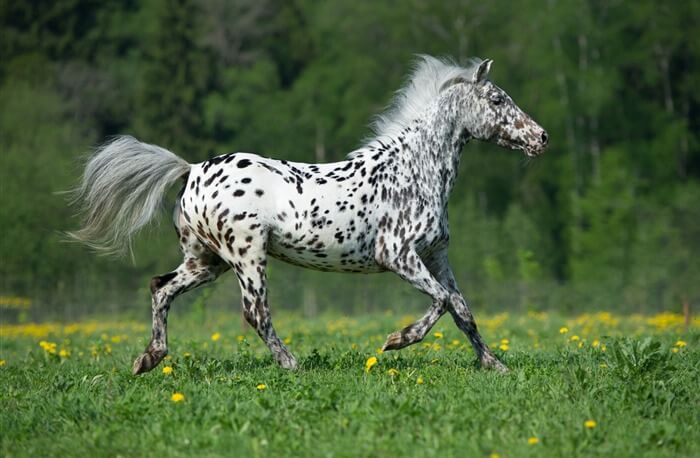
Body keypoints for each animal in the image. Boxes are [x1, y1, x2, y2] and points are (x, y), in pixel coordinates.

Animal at [69, 56, 548, 375]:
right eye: (497, 99)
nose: (541, 138)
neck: (414, 170)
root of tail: (192, 171)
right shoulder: (398, 254)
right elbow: (442, 302)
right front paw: (396, 340)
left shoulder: (436, 256)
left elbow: (463, 309)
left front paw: (494, 364)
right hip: (247, 257)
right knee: (255, 312)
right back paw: (291, 363)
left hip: (207, 261)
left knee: (160, 288)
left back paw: (148, 359)